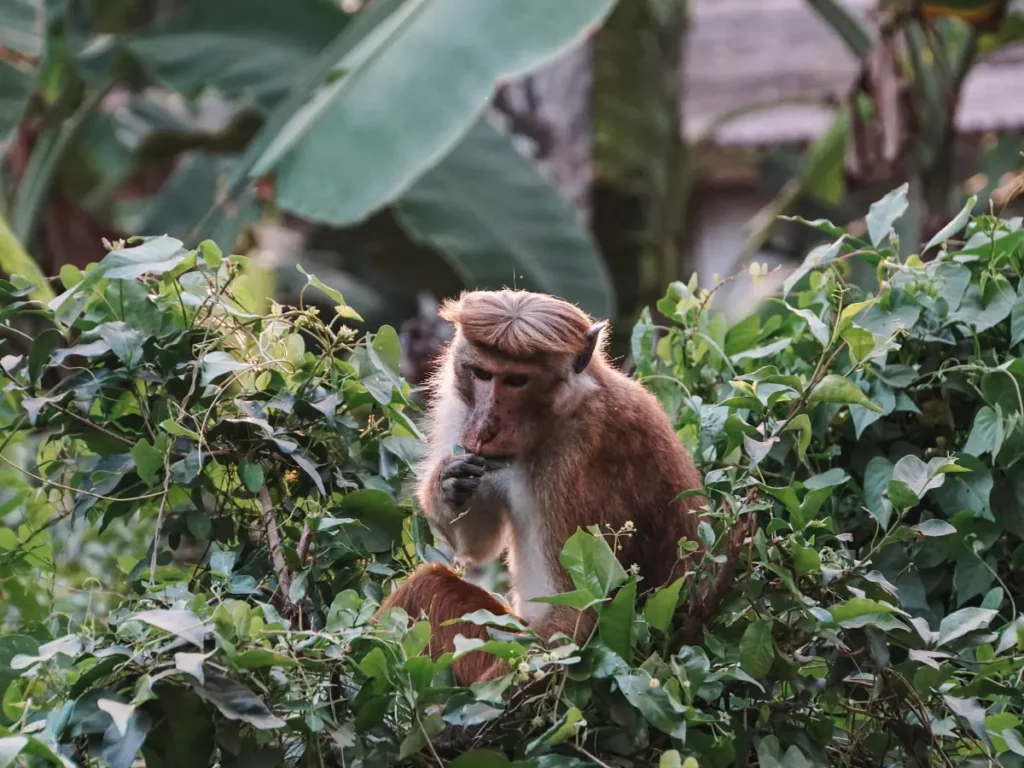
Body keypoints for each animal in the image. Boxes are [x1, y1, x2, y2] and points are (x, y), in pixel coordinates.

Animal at [373, 289, 704, 684]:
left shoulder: (579, 459)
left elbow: (576, 616)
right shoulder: (461, 413)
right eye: (482, 374)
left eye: (516, 381)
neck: (557, 416)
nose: (484, 427)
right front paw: (447, 485)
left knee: (428, 586)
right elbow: (478, 545)